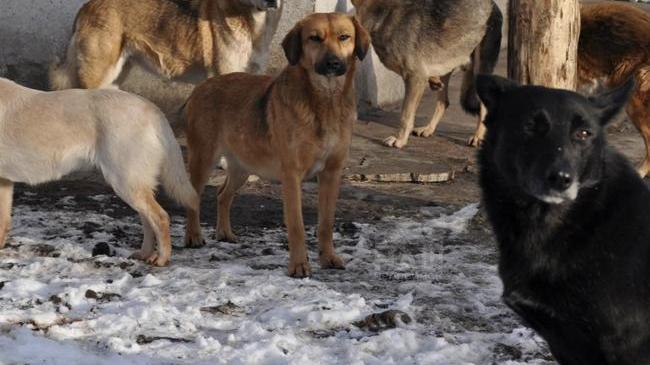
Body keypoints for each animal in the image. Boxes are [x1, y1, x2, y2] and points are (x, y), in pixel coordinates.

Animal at [0, 77, 197, 264]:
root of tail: (151, 108)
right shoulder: (4, 182)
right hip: (134, 185)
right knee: (148, 220)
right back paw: (144, 253)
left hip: (125, 182)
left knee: (161, 217)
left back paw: (162, 258)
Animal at [182, 12, 368, 278]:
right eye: (314, 38)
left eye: (344, 37)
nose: (333, 63)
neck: (325, 101)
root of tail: (200, 87)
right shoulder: (291, 175)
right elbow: (296, 225)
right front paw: (299, 265)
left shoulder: (332, 174)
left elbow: (326, 223)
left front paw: (328, 258)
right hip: (203, 159)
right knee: (194, 197)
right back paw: (193, 236)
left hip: (243, 166)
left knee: (222, 195)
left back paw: (224, 233)